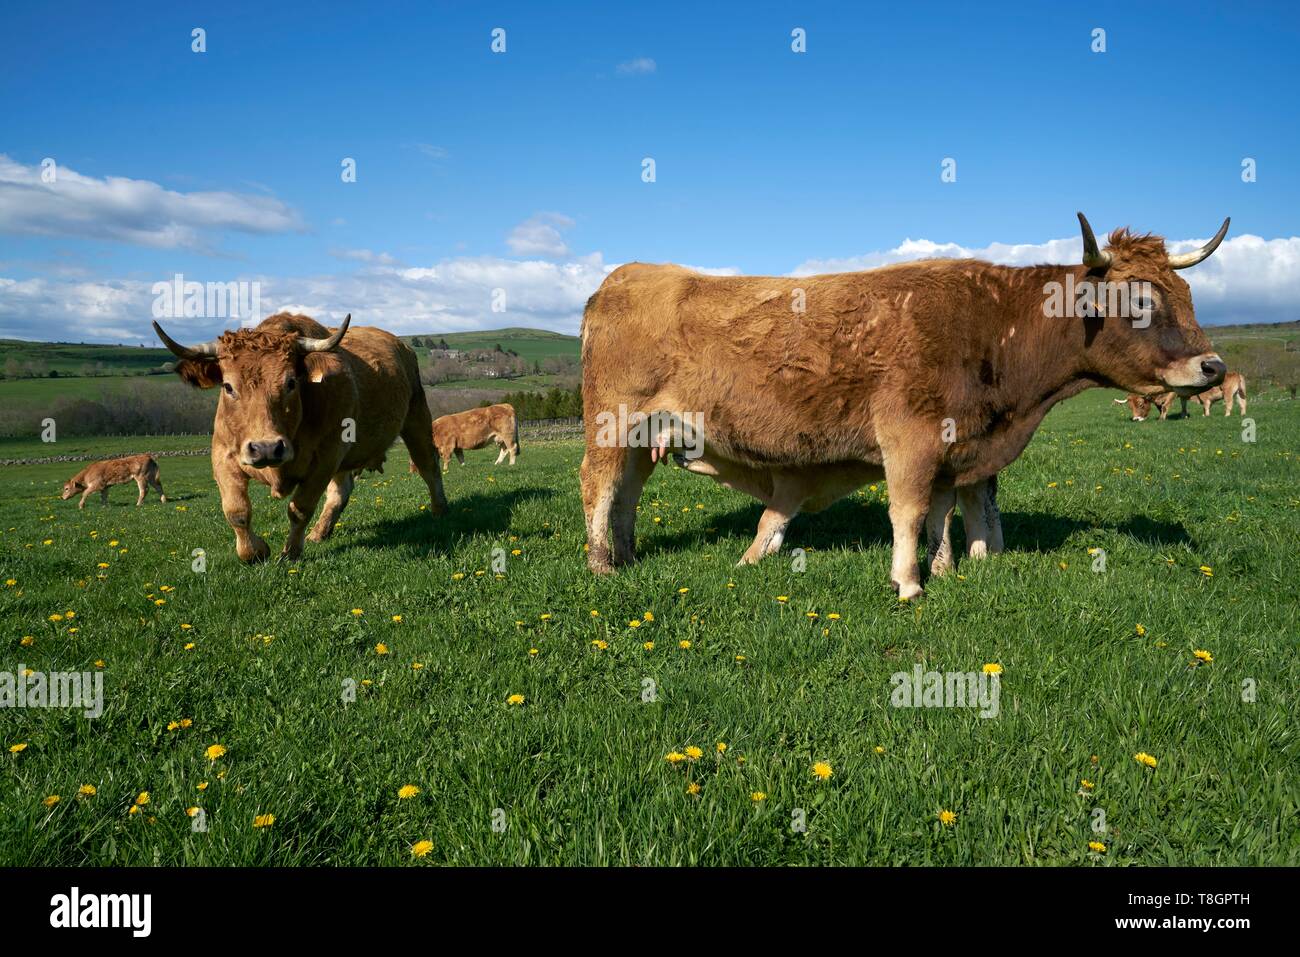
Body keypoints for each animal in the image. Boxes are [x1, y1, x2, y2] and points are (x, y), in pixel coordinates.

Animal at [150, 314, 447, 561]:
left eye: (291, 382)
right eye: (228, 386)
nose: (266, 448)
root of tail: (402, 345)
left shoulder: (325, 458)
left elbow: (300, 508)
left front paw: (290, 552)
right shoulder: (223, 455)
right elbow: (236, 511)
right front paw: (255, 551)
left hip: (416, 420)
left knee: (428, 467)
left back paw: (439, 509)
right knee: (341, 491)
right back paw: (319, 533)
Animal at [579, 213, 1227, 595]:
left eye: (1188, 293)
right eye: (1139, 300)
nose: (1213, 367)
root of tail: (621, 276)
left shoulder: (957, 445)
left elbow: (951, 510)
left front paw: (950, 568)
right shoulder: (910, 438)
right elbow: (910, 511)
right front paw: (910, 582)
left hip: (647, 432)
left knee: (629, 492)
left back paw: (629, 556)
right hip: (611, 423)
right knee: (599, 485)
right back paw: (601, 564)